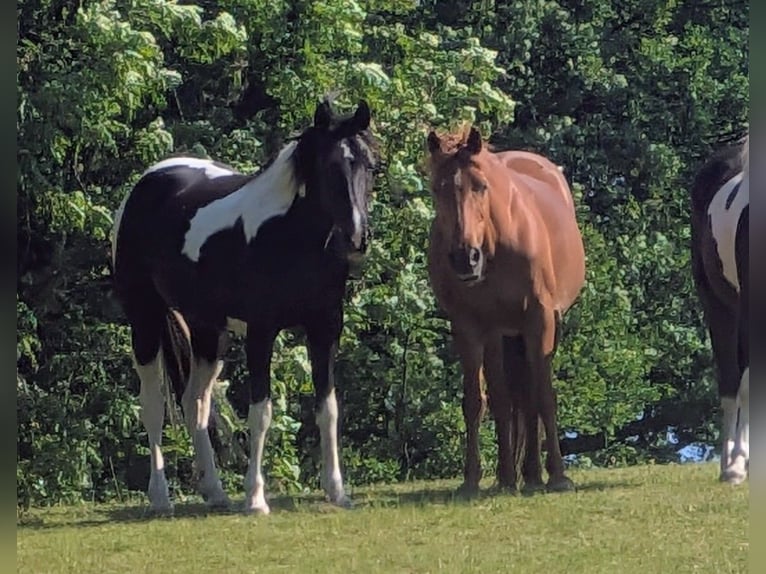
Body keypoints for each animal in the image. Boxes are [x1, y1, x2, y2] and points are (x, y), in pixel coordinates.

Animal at [111, 98, 378, 514]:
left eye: (370, 165)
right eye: (330, 166)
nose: (356, 238)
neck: (289, 236)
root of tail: (145, 184)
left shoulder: (325, 329)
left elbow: (328, 408)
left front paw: (337, 492)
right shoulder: (261, 333)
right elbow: (260, 412)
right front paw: (255, 497)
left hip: (207, 331)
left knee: (194, 402)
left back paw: (215, 491)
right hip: (144, 321)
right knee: (153, 405)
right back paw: (161, 497)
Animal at [425, 125, 585, 495]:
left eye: (480, 186)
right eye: (437, 188)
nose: (464, 258)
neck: (495, 242)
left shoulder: (539, 317)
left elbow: (544, 395)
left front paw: (558, 476)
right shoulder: (472, 325)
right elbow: (480, 400)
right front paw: (473, 479)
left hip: (542, 325)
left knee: (530, 396)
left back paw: (534, 474)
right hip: (504, 333)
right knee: (513, 399)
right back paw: (512, 476)